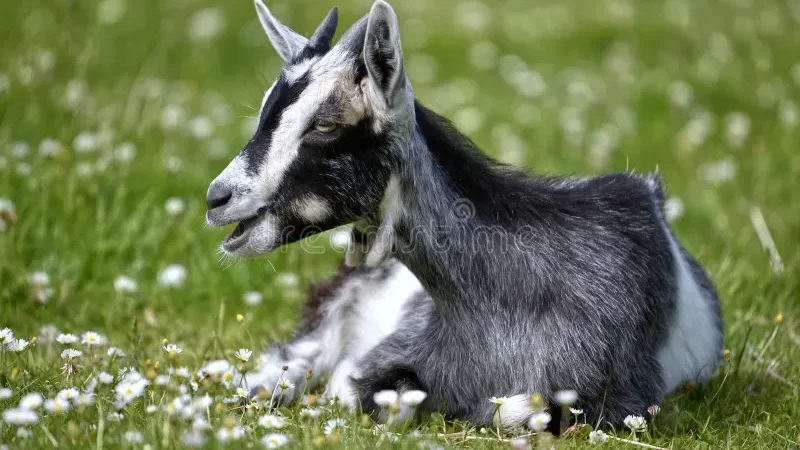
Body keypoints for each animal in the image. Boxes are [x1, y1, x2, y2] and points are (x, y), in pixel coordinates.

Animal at [205, 0, 724, 429]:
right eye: (265, 113)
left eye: (326, 125)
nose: (217, 198)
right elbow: (369, 390)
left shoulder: (625, 400)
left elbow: (525, 409)